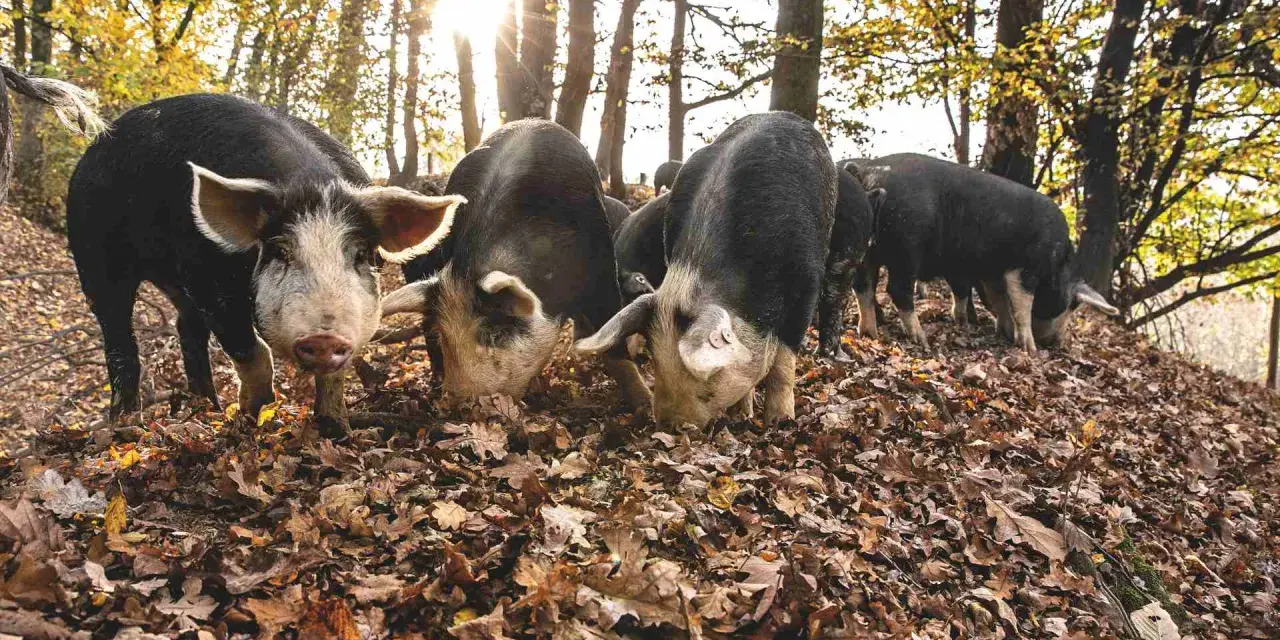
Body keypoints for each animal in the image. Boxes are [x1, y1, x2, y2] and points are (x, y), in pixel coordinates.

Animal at [66, 93, 463, 426]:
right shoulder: (207, 279)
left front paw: (334, 427)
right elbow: (253, 352)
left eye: (360, 254)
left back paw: (208, 409)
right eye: (280, 251)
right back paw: (125, 423)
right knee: (119, 338)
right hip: (93, 254)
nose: (323, 337)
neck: (310, 183)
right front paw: (253, 418)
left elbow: (336, 374)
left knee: (187, 330)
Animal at [381, 119, 650, 409]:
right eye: (445, 336)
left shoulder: (600, 267)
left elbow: (612, 335)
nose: (456, 405)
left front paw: (644, 404)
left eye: (494, 334)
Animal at [574, 112, 838, 428]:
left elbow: (784, 361)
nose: (668, 426)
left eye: (710, 375)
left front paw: (779, 421)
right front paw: (745, 414)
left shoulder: (806, 281)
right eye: (654, 356)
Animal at [845, 153, 1118, 352]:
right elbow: (1022, 306)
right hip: (907, 246)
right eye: (1072, 306)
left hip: (869, 250)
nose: (1055, 344)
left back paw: (869, 333)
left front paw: (1003, 333)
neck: (1058, 264)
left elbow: (1000, 301)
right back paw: (921, 340)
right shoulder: (1027, 268)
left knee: (863, 287)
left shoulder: (994, 272)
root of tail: (869, 173)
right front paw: (1029, 349)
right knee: (897, 289)